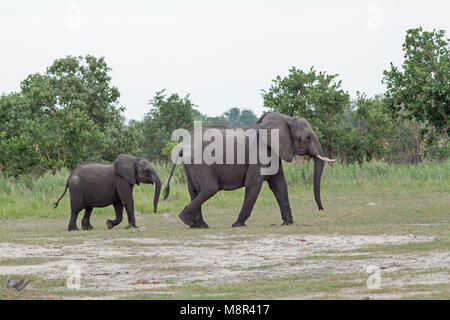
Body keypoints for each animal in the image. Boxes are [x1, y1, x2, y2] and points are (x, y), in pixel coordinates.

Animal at [163, 112, 336, 228]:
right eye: (308, 138)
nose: (321, 209)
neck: (285, 119)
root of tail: (182, 145)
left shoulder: (272, 152)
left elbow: (279, 185)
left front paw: (288, 224)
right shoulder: (260, 154)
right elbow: (254, 184)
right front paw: (237, 224)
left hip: (190, 165)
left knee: (194, 190)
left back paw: (199, 226)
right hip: (200, 161)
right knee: (209, 188)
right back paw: (185, 219)